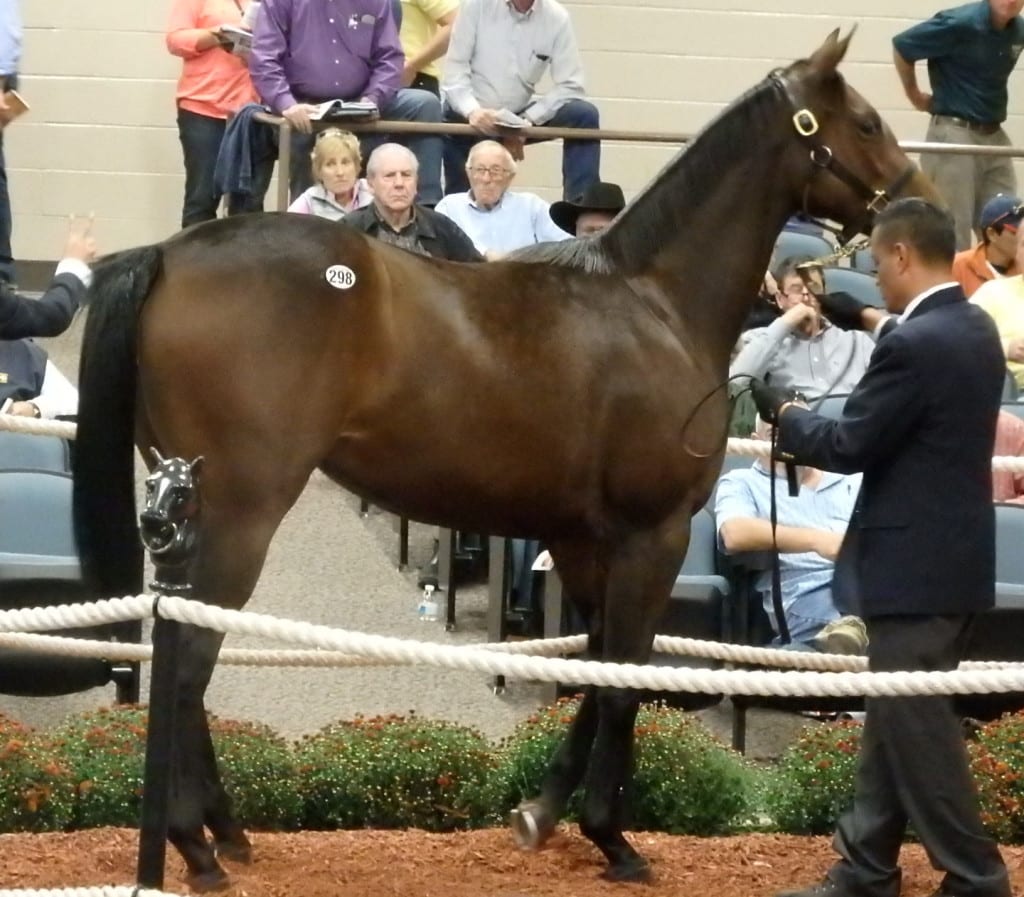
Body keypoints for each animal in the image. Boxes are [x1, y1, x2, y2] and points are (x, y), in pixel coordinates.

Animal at [72, 33, 937, 888]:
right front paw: (612, 837)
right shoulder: (651, 537)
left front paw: (542, 814)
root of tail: (170, 254)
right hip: (240, 515)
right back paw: (195, 846)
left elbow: (597, 668)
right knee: (189, 660)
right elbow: (627, 676)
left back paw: (223, 831)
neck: (653, 304)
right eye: (864, 121)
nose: (925, 205)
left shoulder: (587, 542)